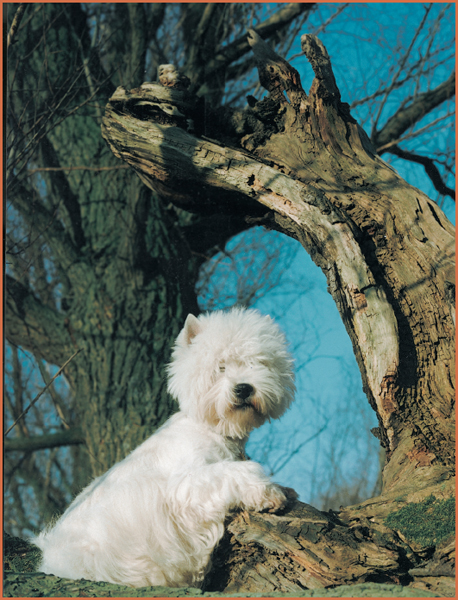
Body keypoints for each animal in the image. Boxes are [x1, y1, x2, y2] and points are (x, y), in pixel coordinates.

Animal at [34, 308, 296, 588]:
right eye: (220, 367)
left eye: (255, 364)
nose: (244, 388)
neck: (214, 429)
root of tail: (51, 561)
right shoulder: (186, 483)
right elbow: (236, 472)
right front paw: (270, 493)